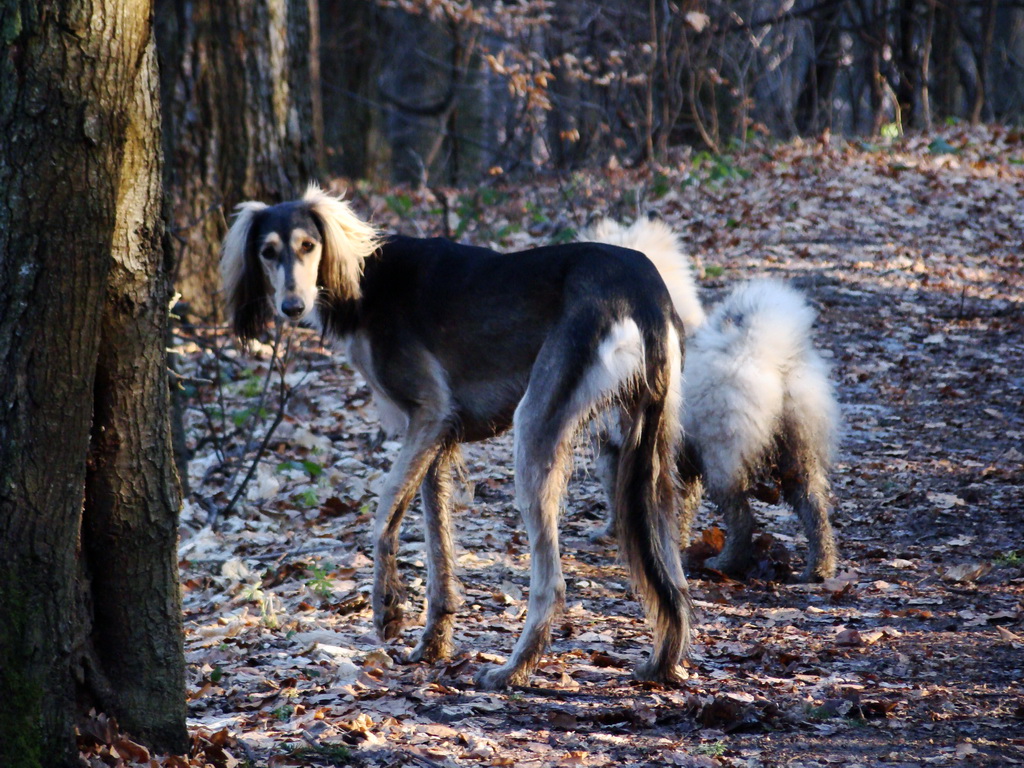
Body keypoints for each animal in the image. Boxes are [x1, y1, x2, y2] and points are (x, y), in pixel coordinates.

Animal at [220, 188, 692, 692]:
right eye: (268, 252)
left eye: (308, 245)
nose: (291, 306)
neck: (365, 281)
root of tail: (642, 289)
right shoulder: (439, 437)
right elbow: (436, 547)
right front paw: (432, 640)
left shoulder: (429, 413)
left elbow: (383, 513)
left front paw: (387, 607)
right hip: (653, 447)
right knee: (672, 575)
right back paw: (662, 662)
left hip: (536, 427)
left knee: (552, 582)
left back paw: (513, 668)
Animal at [585, 217, 839, 581]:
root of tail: (769, 357)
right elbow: (679, 507)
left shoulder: (613, 448)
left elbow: (616, 496)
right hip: (796, 455)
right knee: (815, 509)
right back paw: (819, 568)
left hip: (723, 459)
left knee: (742, 518)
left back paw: (724, 563)